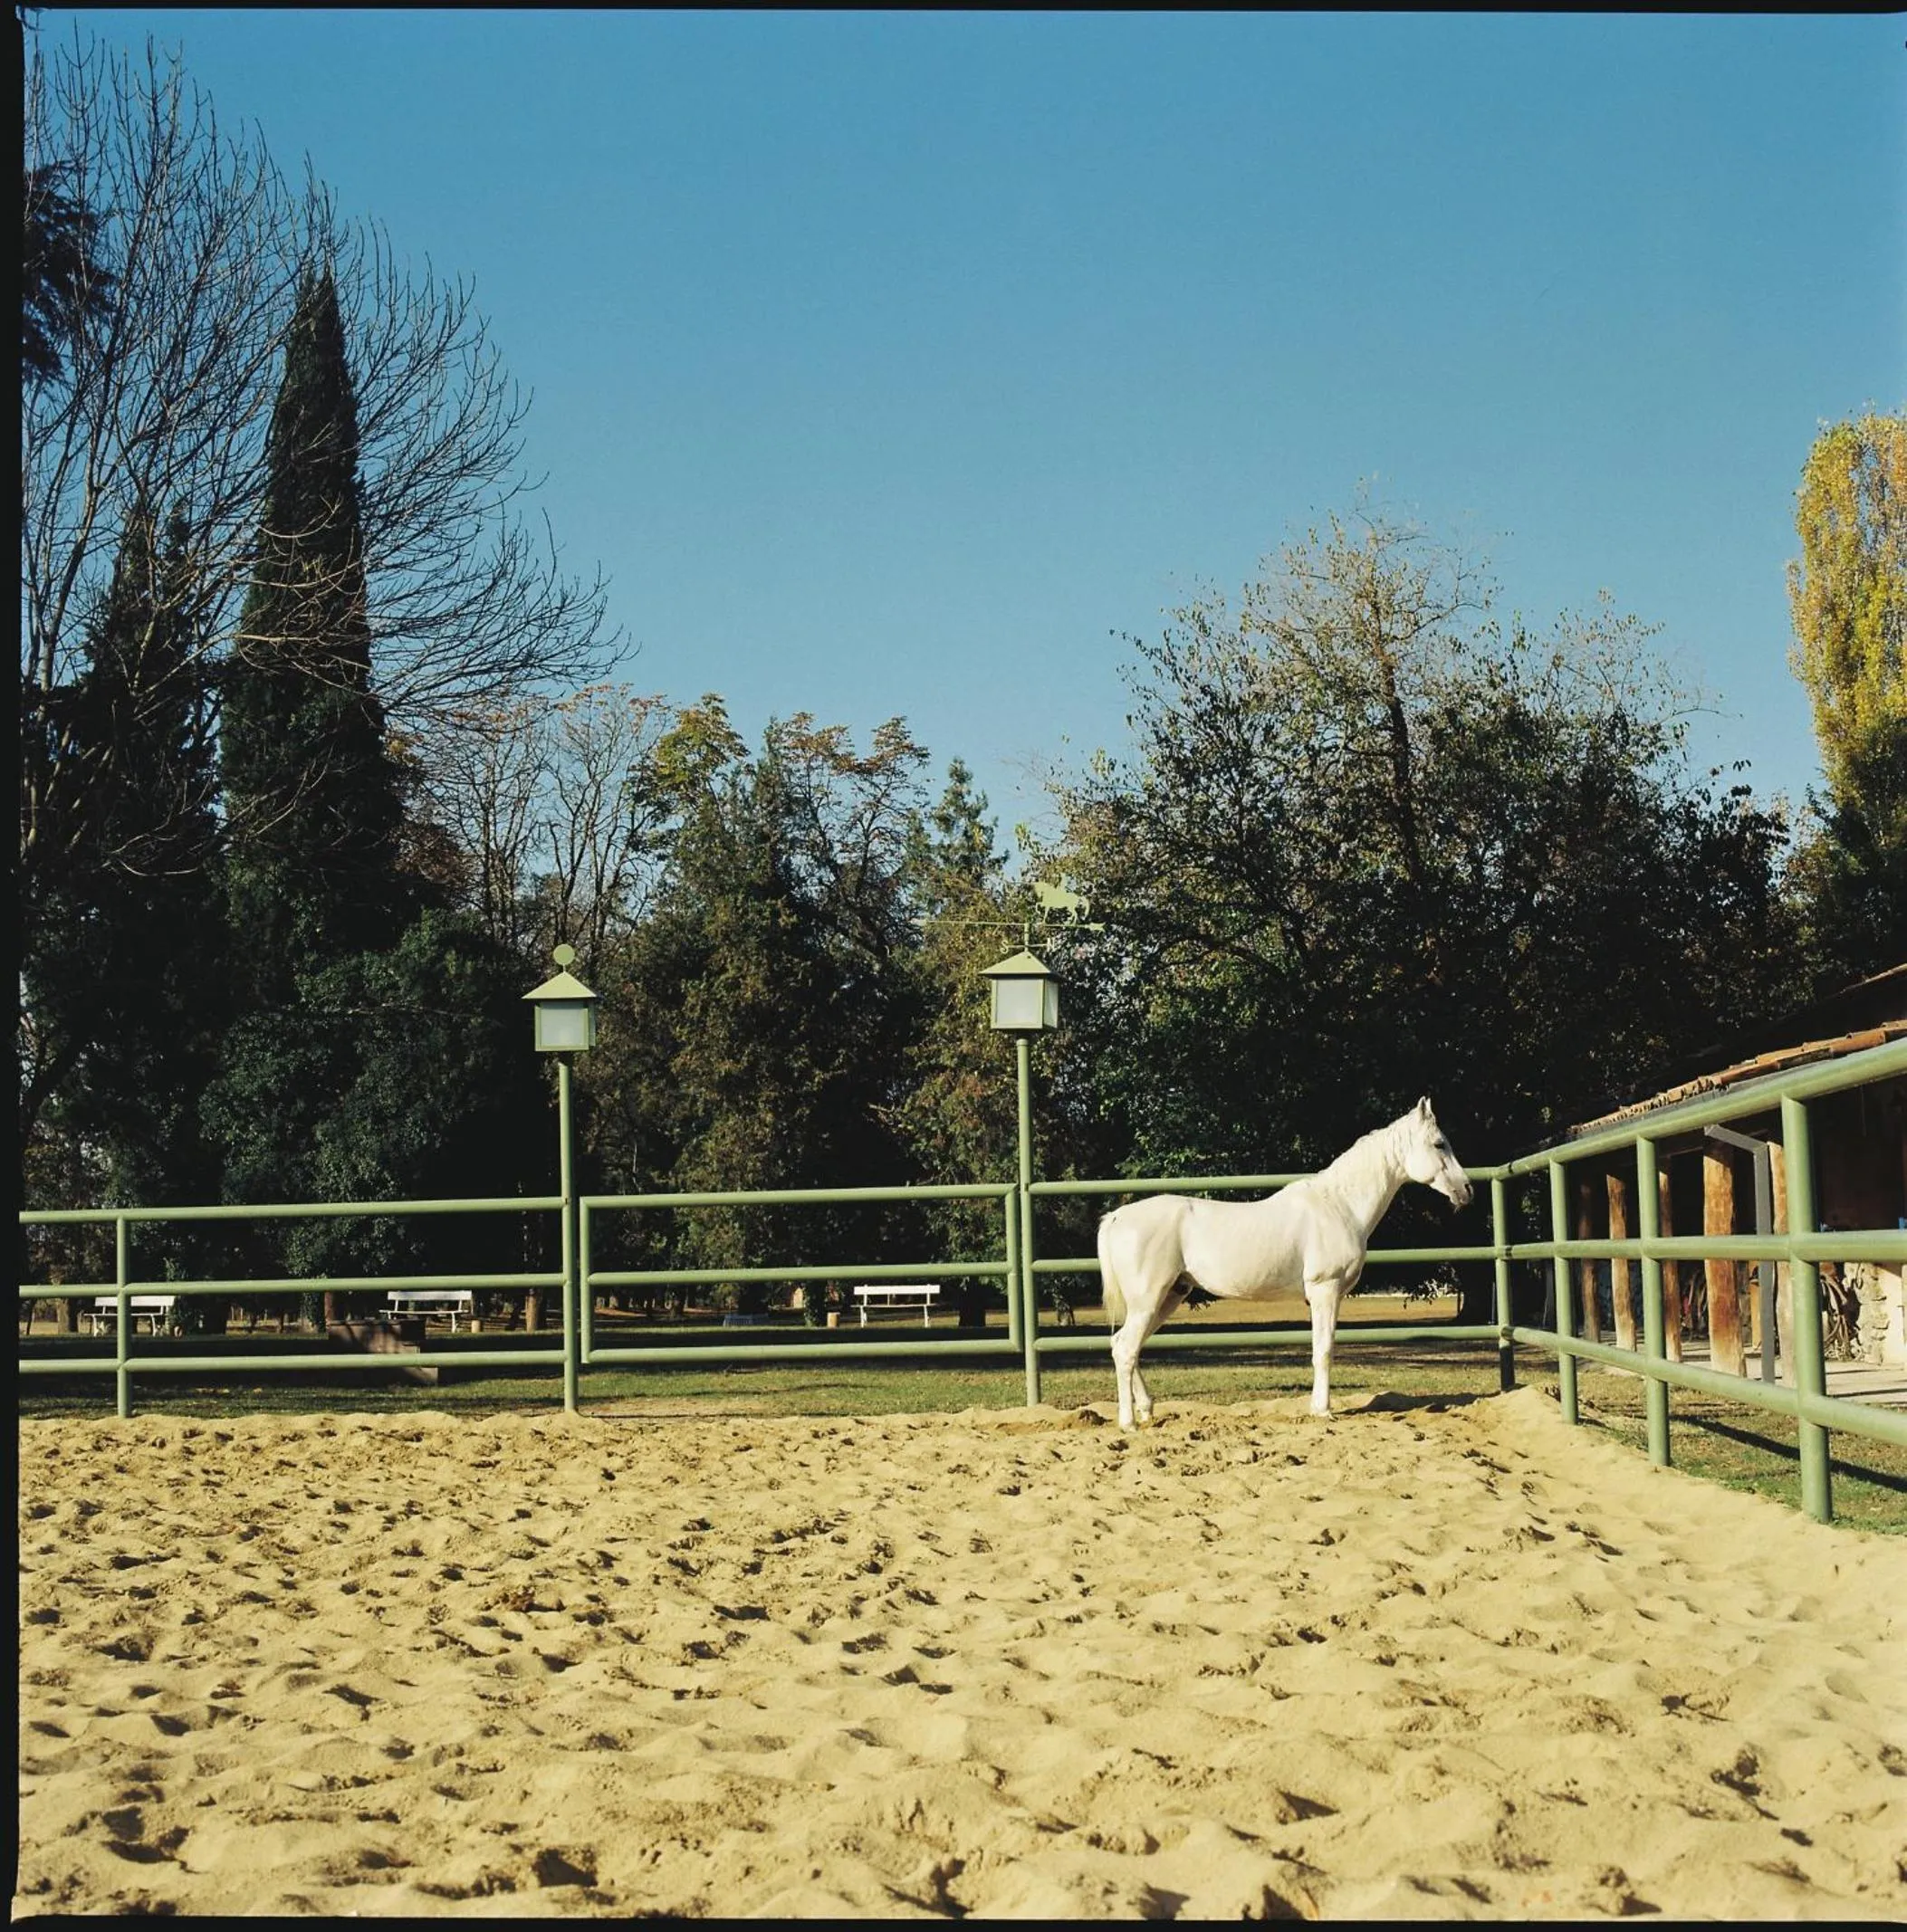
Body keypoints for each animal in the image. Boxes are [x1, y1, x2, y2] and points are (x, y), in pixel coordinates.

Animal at [1096, 1098, 1473, 1429]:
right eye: (1439, 1144)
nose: (1467, 1190)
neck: (1339, 1205)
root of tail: (1117, 1217)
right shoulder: (1324, 1291)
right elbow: (1324, 1349)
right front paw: (1323, 1411)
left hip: (1170, 1296)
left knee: (1127, 1346)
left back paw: (1146, 1410)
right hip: (1149, 1299)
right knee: (1126, 1349)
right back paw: (1129, 1423)